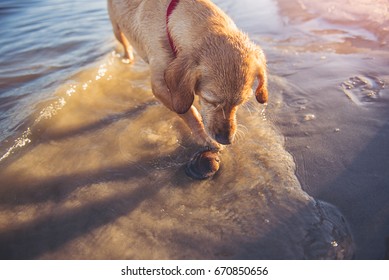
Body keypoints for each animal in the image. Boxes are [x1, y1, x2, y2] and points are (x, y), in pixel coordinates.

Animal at [107, 0, 268, 150]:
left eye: (240, 103)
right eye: (210, 100)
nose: (226, 140)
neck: (169, 20)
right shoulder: (160, 86)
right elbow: (189, 112)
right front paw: (204, 137)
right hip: (116, 28)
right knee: (124, 44)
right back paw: (128, 58)